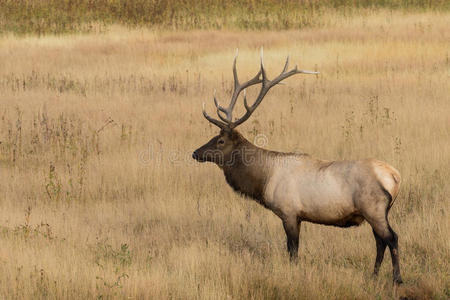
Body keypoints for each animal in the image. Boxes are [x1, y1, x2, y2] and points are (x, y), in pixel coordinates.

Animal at [192, 48, 402, 284]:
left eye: (220, 141)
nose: (195, 153)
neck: (264, 180)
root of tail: (395, 177)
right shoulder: (298, 216)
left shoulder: (289, 212)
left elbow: (292, 250)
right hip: (376, 212)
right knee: (380, 241)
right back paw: (374, 274)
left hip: (374, 208)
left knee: (391, 238)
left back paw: (397, 278)